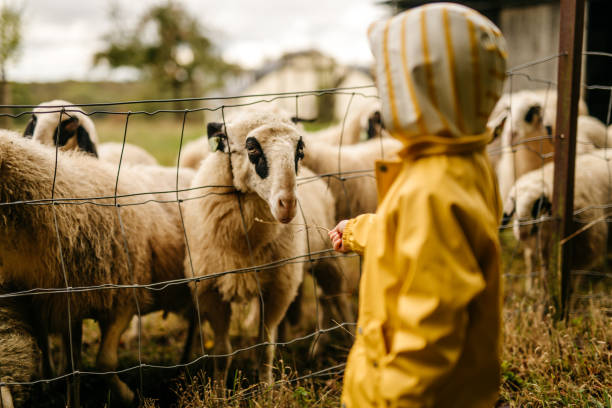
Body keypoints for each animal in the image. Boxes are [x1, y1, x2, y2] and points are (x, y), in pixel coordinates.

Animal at [180, 106, 350, 386]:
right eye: (251, 148)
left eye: (299, 150)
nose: (288, 205)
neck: (244, 244)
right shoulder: (211, 290)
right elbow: (222, 354)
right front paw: (218, 390)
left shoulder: (278, 288)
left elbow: (264, 348)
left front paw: (267, 389)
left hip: (326, 258)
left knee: (338, 297)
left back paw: (349, 338)